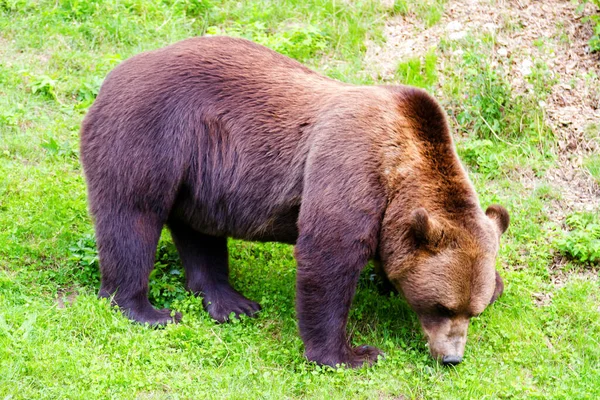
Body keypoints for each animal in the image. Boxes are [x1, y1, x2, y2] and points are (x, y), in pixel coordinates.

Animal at [78, 36, 510, 368]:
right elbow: (329, 257)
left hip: (200, 172)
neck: (402, 167)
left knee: (198, 231)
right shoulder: (351, 166)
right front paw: (351, 354)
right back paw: (146, 310)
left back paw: (231, 302)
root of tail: (112, 75)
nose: (451, 357)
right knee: (131, 218)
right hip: (148, 133)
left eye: (473, 309)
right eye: (442, 306)